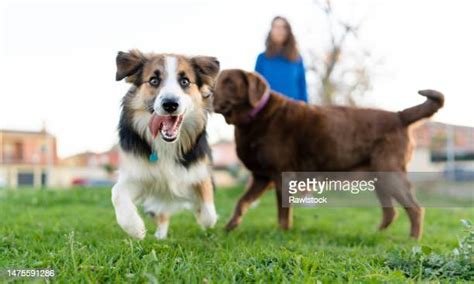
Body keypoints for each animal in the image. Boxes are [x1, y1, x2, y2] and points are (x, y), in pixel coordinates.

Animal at [112, 49, 219, 240]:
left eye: (185, 81)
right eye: (154, 80)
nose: (170, 104)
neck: (167, 145)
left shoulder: (199, 167)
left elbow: (207, 205)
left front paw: (203, 215)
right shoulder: (138, 173)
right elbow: (116, 193)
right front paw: (134, 228)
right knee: (161, 214)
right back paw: (160, 235)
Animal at [214, 69, 444, 240]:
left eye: (229, 82)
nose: (209, 92)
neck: (254, 117)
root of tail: (399, 116)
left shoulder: (281, 175)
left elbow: (282, 211)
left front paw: (281, 233)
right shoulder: (261, 177)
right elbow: (241, 202)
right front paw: (228, 228)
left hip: (390, 174)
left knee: (415, 209)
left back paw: (412, 240)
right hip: (380, 178)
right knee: (391, 212)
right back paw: (375, 235)